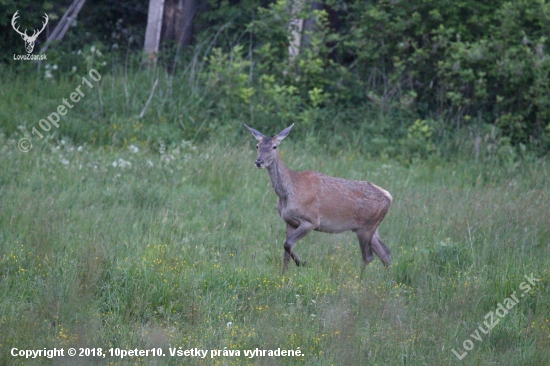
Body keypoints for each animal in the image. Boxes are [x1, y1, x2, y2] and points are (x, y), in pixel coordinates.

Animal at [245, 124, 392, 270]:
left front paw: (302, 262)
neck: (288, 193)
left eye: (274, 146)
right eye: (257, 146)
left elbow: (287, 244)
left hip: (366, 227)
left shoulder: (311, 220)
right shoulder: (289, 221)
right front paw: (285, 273)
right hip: (370, 228)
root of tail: (389, 197)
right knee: (386, 253)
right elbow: (286, 254)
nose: (259, 161)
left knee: (368, 256)